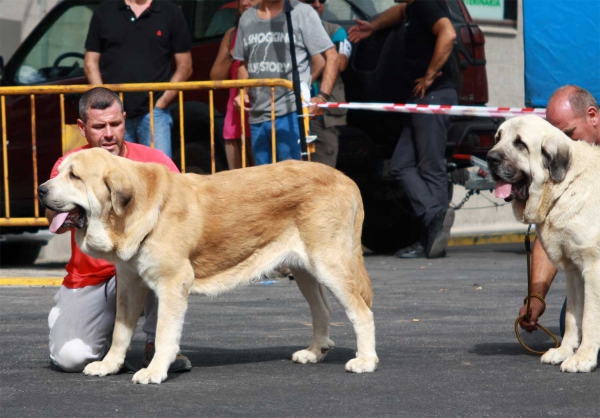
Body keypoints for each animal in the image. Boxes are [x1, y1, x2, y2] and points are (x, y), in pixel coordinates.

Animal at [37, 149, 378, 384]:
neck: (132, 211)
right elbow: (121, 331)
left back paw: (365, 361)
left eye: (74, 177)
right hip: (306, 270)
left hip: (329, 264)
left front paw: (155, 371)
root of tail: (346, 179)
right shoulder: (131, 283)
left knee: (361, 312)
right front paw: (109, 365)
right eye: (60, 171)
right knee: (323, 309)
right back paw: (314, 352)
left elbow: (164, 334)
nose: (41, 189)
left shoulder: (173, 283)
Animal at [490, 114, 596, 372]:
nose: (490, 158)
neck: (565, 186)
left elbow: (589, 317)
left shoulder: (593, 268)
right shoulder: (574, 270)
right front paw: (564, 352)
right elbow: (573, 317)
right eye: (498, 138)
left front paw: (584, 358)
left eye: (520, 144)